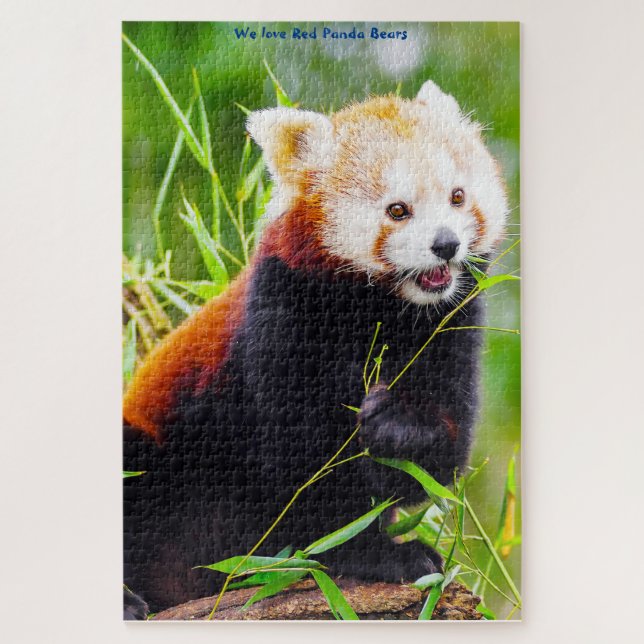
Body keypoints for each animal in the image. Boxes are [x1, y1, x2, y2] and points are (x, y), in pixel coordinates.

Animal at [123, 79, 508, 617]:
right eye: (397, 210)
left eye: (457, 197)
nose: (446, 244)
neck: (382, 309)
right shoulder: (283, 319)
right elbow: (305, 467)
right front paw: (374, 553)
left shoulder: (451, 325)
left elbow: (435, 454)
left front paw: (395, 424)